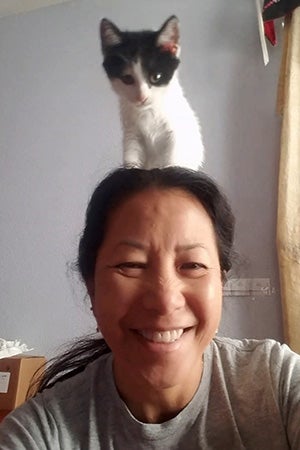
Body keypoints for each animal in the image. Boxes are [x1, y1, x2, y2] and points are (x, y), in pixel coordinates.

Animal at [99, 16, 205, 171]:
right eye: (127, 79)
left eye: (156, 77)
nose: (141, 97)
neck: (148, 112)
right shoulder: (132, 135)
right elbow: (131, 156)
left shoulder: (176, 133)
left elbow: (173, 158)